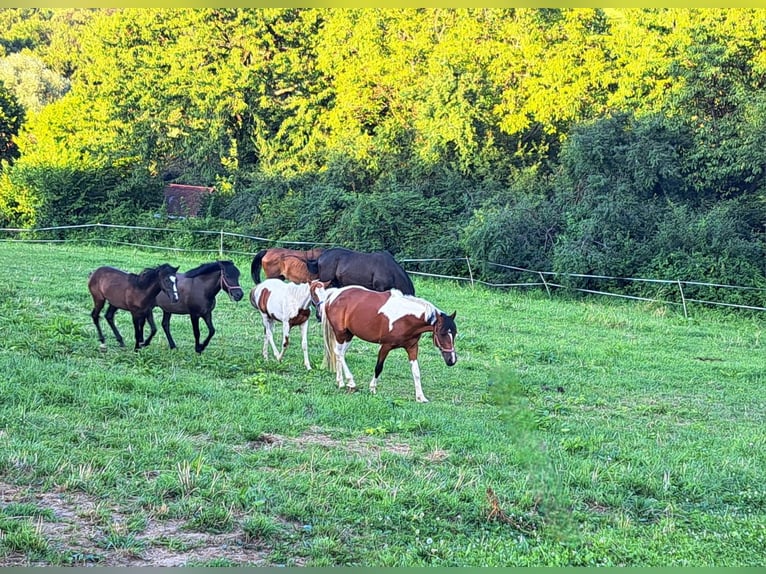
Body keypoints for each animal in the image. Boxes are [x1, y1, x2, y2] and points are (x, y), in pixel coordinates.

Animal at [310, 282, 460, 402]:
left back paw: (341, 382)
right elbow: (379, 367)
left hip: (349, 335)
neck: (405, 318)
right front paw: (372, 388)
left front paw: (420, 397)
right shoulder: (385, 346)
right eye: (442, 333)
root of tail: (333, 295)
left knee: (339, 354)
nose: (451, 360)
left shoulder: (412, 347)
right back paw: (351, 382)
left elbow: (416, 372)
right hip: (341, 334)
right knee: (339, 353)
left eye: (454, 333)